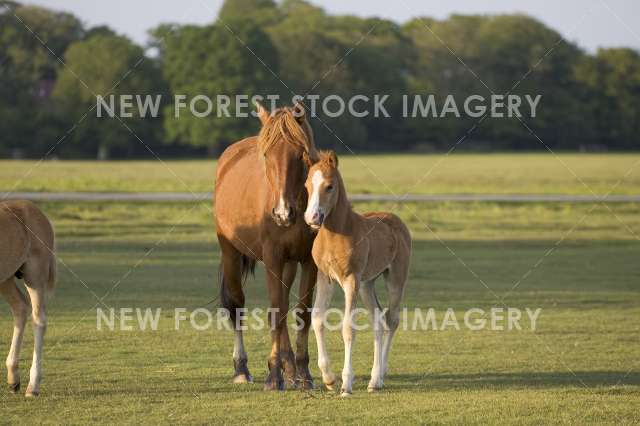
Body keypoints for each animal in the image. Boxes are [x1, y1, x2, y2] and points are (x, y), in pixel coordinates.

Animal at [0, 200, 56, 397]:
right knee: (20, 308)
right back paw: (13, 378)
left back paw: (33, 386)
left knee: (38, 319)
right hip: (6, 278)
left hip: (34, 275)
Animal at [214, 102, 319, 390]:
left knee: (283, 302)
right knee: (237, 305)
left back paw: (290, 368)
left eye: (301, 155)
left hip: (289, 264)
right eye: (266, 155)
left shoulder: (308, 261)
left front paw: (303, 373)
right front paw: (273, 375)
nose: (282, 213)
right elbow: (275, 313)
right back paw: (242, 368)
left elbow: (301, 313)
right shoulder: (272, 258)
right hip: (230, 252)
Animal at [303, 151, 412, 396]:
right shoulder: (325, 278)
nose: (312, 218)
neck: (335, 234)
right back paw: (373, 380)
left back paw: (380, 375)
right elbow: (317, 319)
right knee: (377, 320)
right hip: (367, 284)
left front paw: (346, 384)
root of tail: (396, 219)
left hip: (395, 278)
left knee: (391, 320)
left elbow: (347, 328)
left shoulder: (350, 280)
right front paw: (329, 378)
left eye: (329, 186)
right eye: (306, 185)